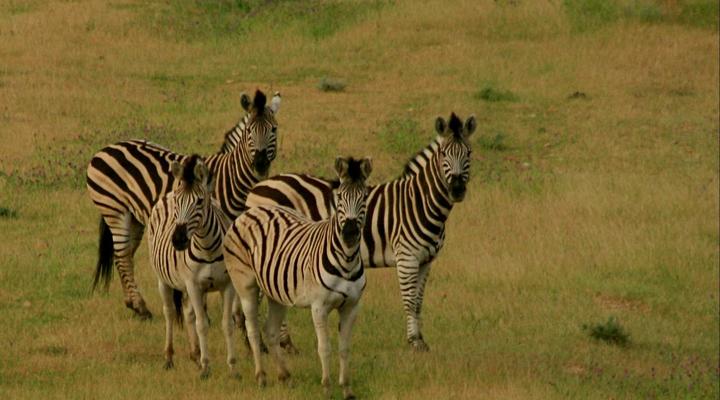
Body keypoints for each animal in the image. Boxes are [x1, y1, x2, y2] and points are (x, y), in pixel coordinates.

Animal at [86, 89, 280, 319]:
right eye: (250, 130)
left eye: (274, 129)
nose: (260, 164)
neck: (231, 179)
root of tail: (107, 148)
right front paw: (206, 311)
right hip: (115, 210)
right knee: (123, 255)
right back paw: (141, 307)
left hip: (134, 217)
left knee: (125, 255)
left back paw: (133, 304)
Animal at [147, 155, 235, 379]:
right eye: (179, 202)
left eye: (200, 202)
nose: (178, 240)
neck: (208, 248)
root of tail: (168, 192)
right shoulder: (194, 285)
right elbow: (202, 325)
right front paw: (206, 368)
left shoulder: (227, 285)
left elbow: (226, 324)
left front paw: (233, 368)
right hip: (163, 280)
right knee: (170, 312)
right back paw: (169, 358)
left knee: (187, 313)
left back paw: (195, 354)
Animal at [223, 156, 372, 399]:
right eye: (340, 197)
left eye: (364, 197)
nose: (349, 232)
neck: (347, 261)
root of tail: (250, 211)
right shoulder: (319, 306)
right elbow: (324, 348)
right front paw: (327, 387)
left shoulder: (352, 306)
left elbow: (344, 348)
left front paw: (347, 389)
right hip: (246, 285)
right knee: (253, 329)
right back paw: (261, 377)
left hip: (275, 292)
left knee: (271, 331)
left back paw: (285, 376)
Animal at [245, 112, 476, 352]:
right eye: (444, 154)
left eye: (469, 153)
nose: (457, 189)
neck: (420, 202)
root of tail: (258, 187)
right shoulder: (407, 257)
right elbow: (410, 301)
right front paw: (414, 342)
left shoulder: (425, 261)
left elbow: (419, 302)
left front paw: (420, 340)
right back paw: (270, 344)